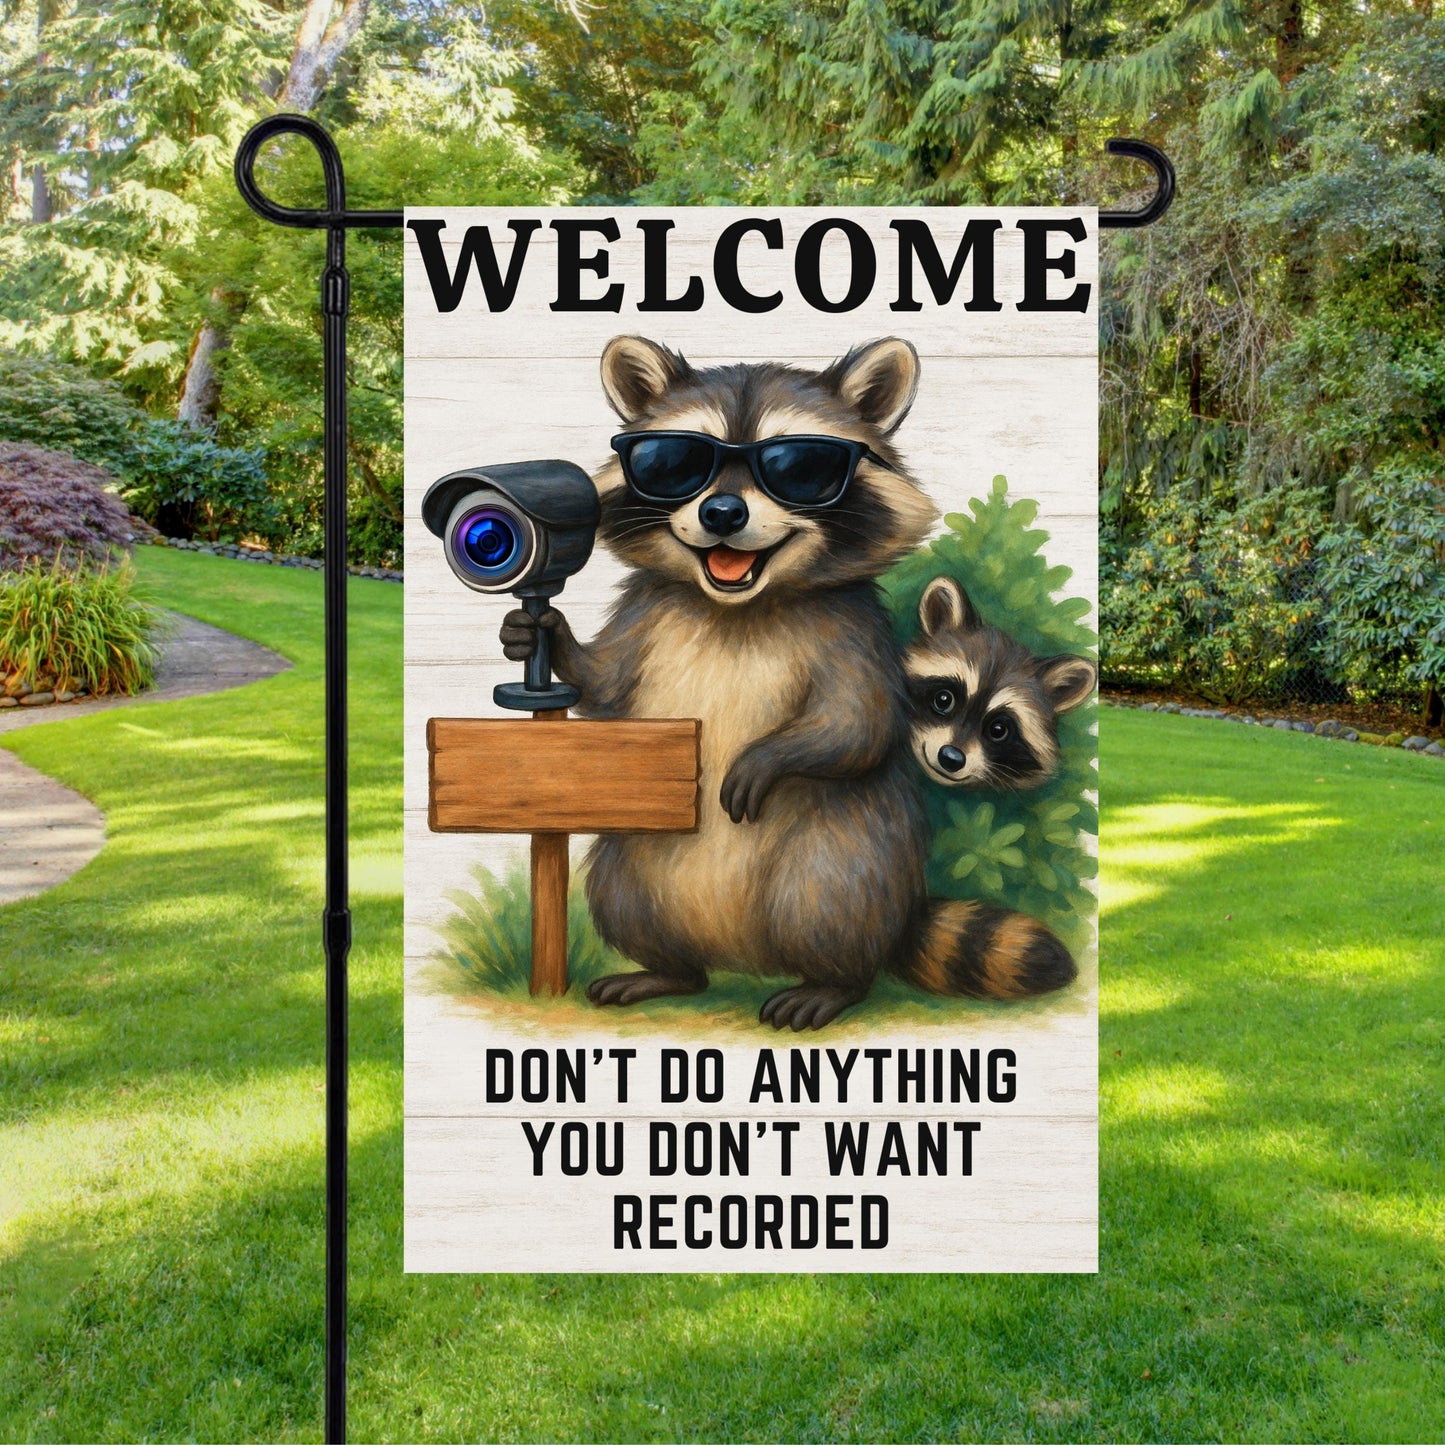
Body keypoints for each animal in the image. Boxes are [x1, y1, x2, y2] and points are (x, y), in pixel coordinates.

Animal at [501, 335, 1076, 1027]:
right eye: (677, 462)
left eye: (799, 466)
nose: (723, 512)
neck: (738, 605)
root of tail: (740, 955)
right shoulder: (645, 614)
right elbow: (608, 687)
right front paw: (549, 636)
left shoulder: (854, 633)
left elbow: (859, 722)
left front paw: (769, 755)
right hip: (636, 861)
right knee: (625, 898)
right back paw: (666, 970)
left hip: (851, 859)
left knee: (829, 899)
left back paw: (833, 983)